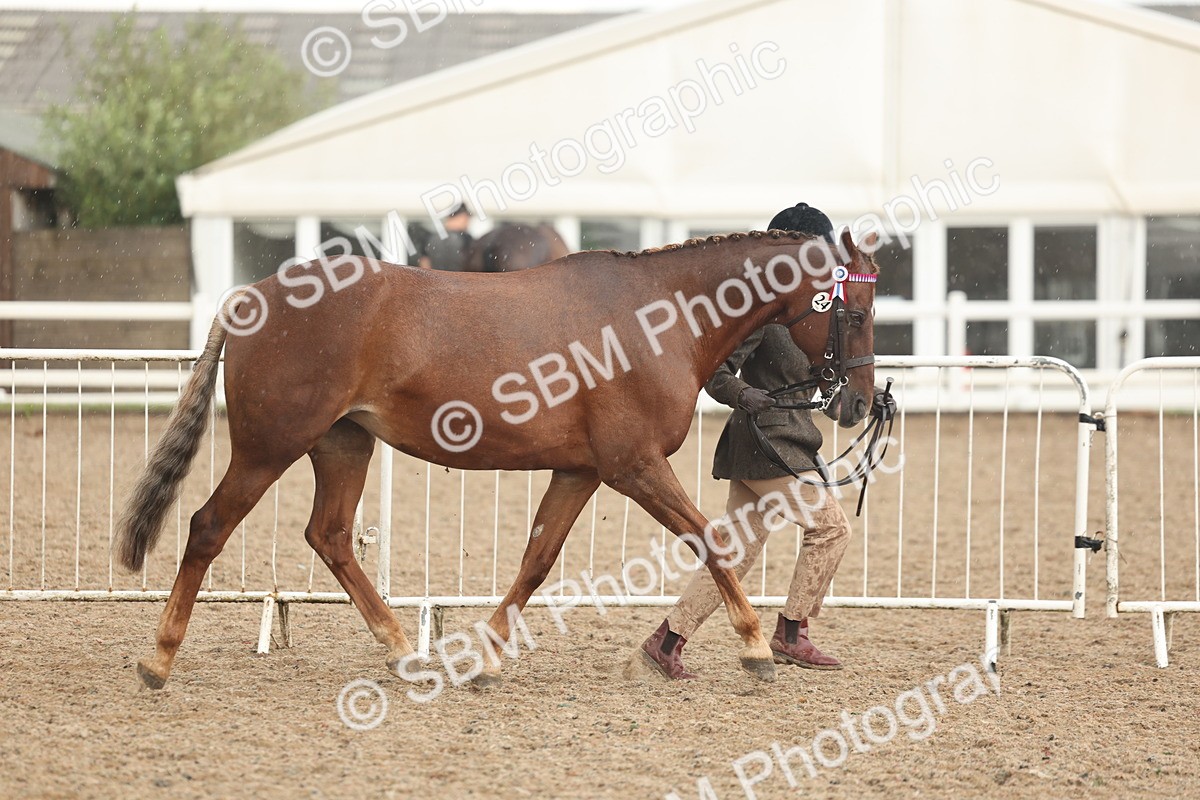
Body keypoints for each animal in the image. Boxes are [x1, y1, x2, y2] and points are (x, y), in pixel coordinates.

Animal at [116, 228, 879, 690]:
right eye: (857, 311)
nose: (859, 403)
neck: (657, 317)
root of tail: (251, 298)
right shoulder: (633, 468)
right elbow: (710, 542)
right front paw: (755, 648)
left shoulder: (582, 471)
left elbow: (536, 561)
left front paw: (484, 660)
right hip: (269, 445)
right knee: (209, 528)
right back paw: (158, 659)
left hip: (343, 443)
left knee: (328, 536)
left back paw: (403, 648)